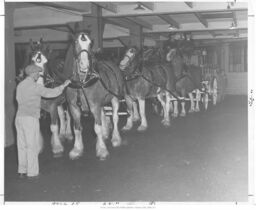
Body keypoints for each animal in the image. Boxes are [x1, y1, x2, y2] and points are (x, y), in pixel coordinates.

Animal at [64, 32, 124, 161]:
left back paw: (115, 138)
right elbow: (77, 129)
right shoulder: (73, 108)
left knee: (114, 117)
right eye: (75, 42)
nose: (84, 65)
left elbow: (97, 128)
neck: (81, 82)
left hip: (114, 99)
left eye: (91, 43)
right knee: (103, 115)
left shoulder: (94, 106)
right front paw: (77, 149)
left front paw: (101, 150)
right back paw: (105, 134)